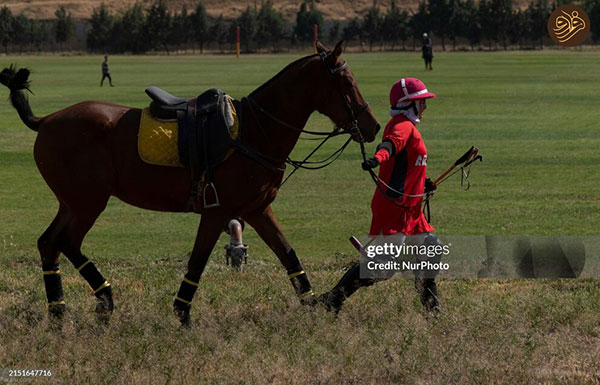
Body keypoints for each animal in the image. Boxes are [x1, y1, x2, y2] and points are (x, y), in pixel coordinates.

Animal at [1, 41, 380, 324]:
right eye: (347, 83)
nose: (373, 126)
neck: (254, 133)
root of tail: (46, 120)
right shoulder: (217, 212)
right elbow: (197, 261)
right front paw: (182, 314)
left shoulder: (257, 209)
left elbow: (288, 254)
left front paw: (316, 304)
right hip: (88, 202)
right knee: (66, 241)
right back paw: (102, 298)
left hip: (72, 202)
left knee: (50, 243)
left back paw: (59, 311)